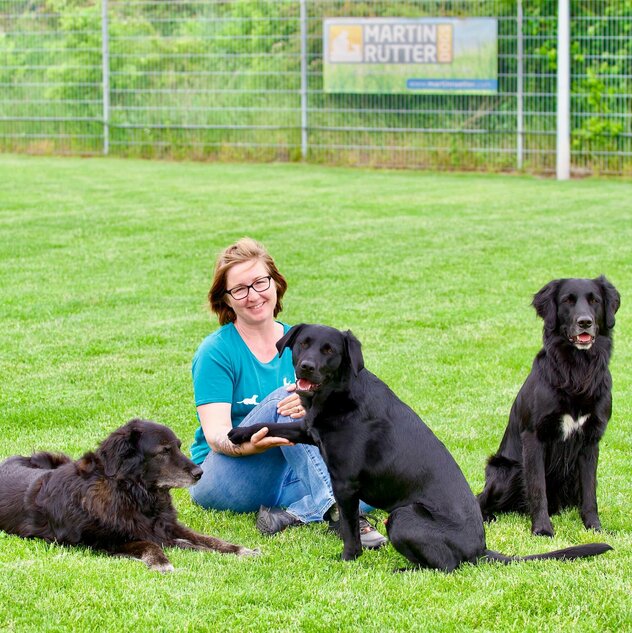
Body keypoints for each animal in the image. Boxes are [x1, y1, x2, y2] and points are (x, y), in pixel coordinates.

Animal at [0, 418, 260, 572]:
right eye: (164, 451)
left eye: (177, 446)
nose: (200, 473)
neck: (133, 493)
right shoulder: (99, 541)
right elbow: (154, 543)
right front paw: (162, 562)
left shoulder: (169, 526)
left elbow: (208, 539)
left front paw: (240, 550)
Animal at [228, 324, 612, 572]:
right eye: (302, 344)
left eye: (329, 351)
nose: (305, 367)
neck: (338, 396)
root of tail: (481, 549)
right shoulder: (309, 431)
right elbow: (275, 426)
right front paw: (239, 433)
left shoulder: (345, 484)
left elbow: (350, 528)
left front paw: (348, 560)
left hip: (402, 515)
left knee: (446, 566)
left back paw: (404, 570)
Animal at [476, 274, 620, 536]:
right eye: (567, 301)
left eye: (594, 300)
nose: (585, 322)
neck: (577, 370)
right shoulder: (534, 437)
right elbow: (537, 488)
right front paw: (542, 529)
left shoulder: (590, 440)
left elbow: (590, 492)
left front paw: (594, 527)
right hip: (507, 470)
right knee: (479, 499)